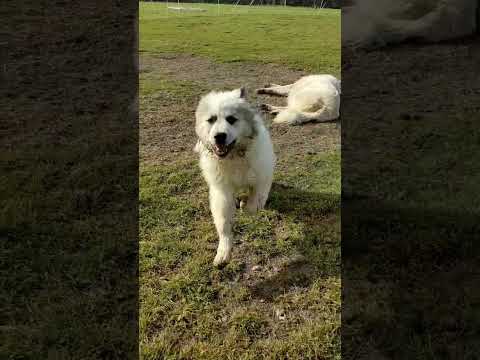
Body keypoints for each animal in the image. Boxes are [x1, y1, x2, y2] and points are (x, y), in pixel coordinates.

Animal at [194, 88, 276, 268]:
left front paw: (246, 205)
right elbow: (223, 223)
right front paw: (224, 251)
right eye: (211, 120)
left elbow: (254, 204)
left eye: (231, 119)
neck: (234, 156)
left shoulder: (262, 179)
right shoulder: (221, 191)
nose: (219, 136)